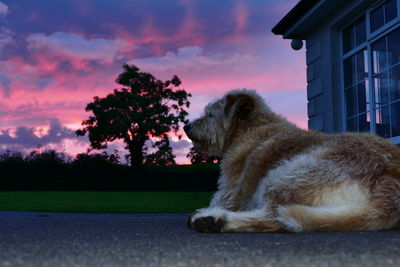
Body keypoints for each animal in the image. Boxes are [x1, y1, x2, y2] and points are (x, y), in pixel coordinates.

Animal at [184, 89, 400, 232]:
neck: (252, 126)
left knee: (274, 217)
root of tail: (389, 179)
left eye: (210, 114)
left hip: (284, 176)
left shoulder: (230, 187)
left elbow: (221, 199)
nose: (186, 126)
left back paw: (215, 219)